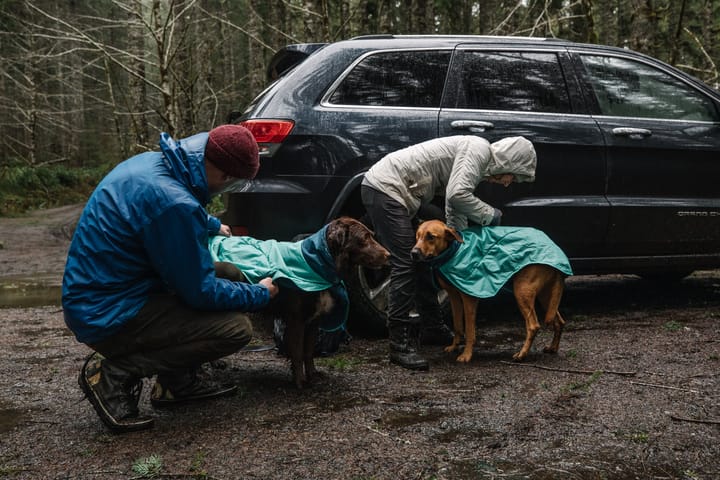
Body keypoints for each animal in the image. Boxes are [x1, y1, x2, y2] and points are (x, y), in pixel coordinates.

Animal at [414, 219, 564, 362]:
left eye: (431, 237)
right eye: (417, 236)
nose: (413, 253)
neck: (454, 250)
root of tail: (552, 246)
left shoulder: (469, 299)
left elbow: (469, 331)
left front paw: (466, 355)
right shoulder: (454, 296)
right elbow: (457, 326)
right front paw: (454, 346)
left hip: (522, 292)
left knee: (533, 326)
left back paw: (522, 354)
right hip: (546, 296)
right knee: (559, 322)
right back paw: (553, 348)